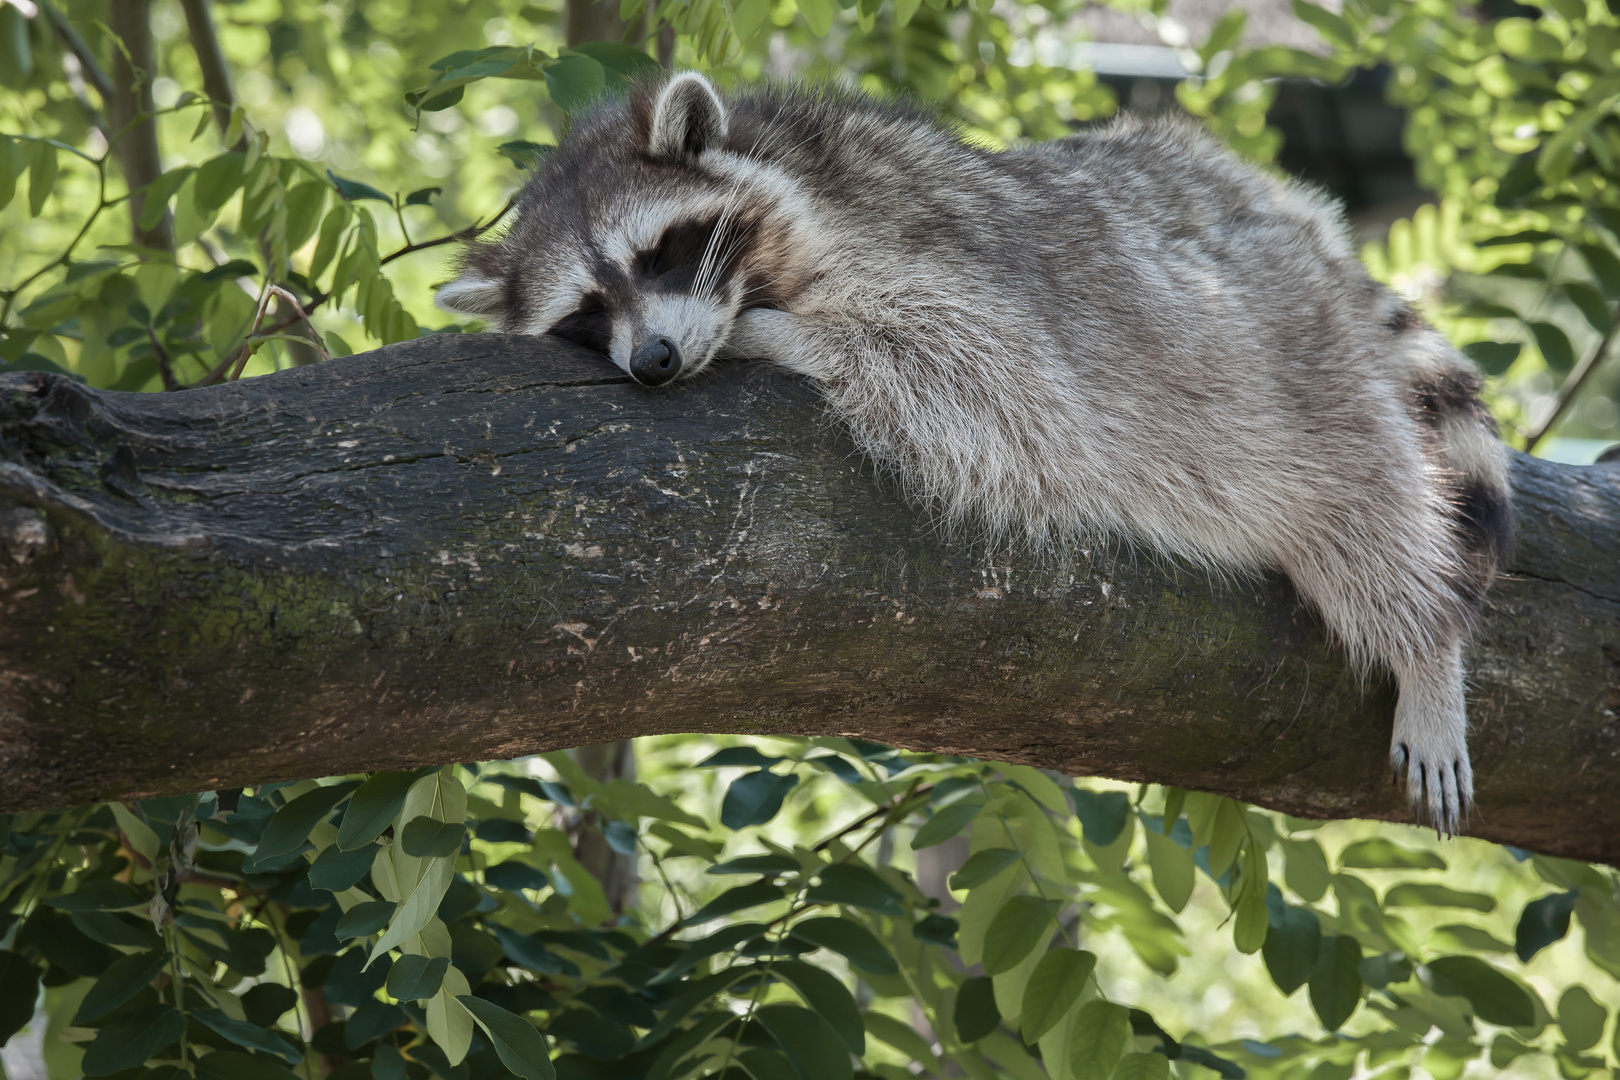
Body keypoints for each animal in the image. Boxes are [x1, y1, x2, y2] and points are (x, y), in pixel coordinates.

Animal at [437, 74, 1509, 835]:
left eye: (659, 253)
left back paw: (1425, 641)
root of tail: (1291, 218)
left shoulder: (934, 256)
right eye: (586, 312)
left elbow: (987, 373)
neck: (791, 171)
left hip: (1295, 355)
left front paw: (773, 333)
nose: (654, 362)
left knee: (1359, 499)